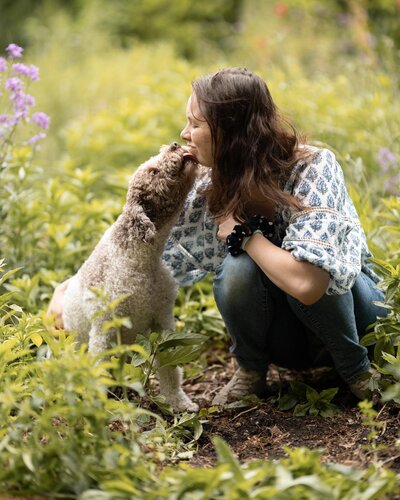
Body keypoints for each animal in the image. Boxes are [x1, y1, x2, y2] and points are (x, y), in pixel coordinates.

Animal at [61, 143, 199, 412]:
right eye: (153, 171)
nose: (175, 145)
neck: (139, 259)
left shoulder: (161, 318)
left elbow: (168, 367)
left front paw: (179, 403)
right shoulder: (104, 327)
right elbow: (98, 368)